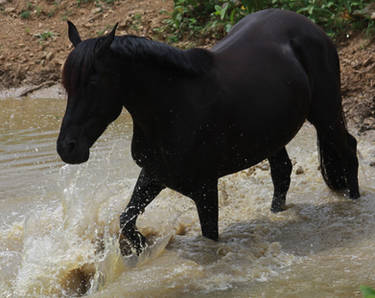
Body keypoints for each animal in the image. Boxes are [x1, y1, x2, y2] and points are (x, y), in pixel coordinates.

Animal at [57, 9, 360, 256]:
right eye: (67, 86)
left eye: (92, 83)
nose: (66, 148)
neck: (175, 106)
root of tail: (311, 26)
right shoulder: (154, 174)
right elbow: (126, 219)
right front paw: (142, 247)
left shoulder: (205, 189)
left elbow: (209, 236)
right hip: (274, 133)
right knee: (282, 171)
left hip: (326, 114)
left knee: (348, 150)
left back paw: (355, 204)